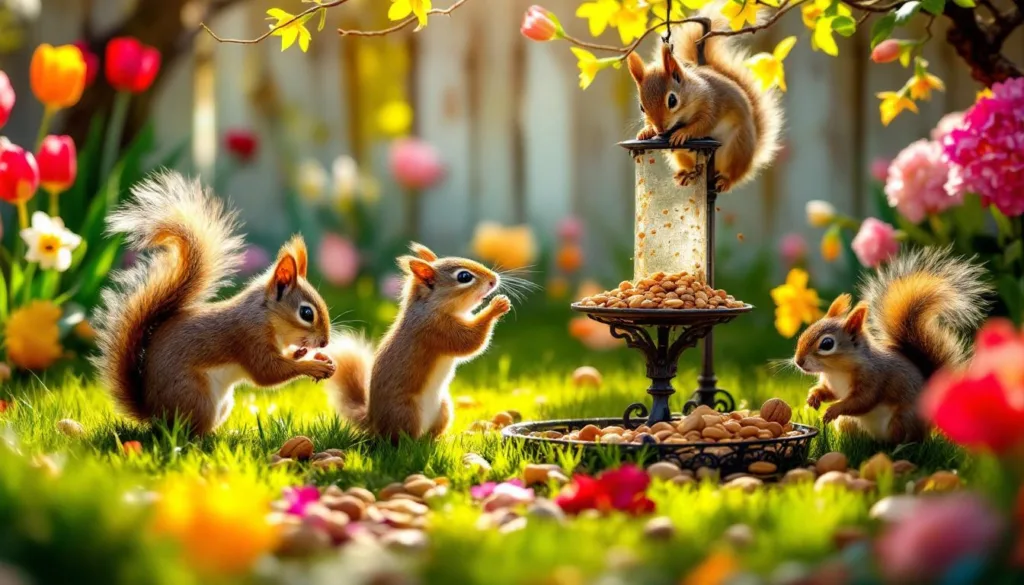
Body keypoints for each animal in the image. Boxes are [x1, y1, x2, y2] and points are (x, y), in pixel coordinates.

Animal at [93, 172, 337, 436]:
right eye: (306, 313)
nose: (325, 342)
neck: (266, 315)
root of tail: (154, 414)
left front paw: (312, 356)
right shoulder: (249, 338)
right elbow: (268, 374)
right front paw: (313, 366)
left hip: (222, 404)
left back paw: (230, 433)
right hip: (196, 397)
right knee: (191, 434)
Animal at [323, 243, 511, 442]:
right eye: (464, 277)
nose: (494, 279)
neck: (433, 307)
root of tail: (375, 423)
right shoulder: (435, 330)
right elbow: (470, 342)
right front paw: (497, 306)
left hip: (444, 408)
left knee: (432, 434)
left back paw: (442, 440)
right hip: (406, 413)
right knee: (405, 440)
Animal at [626, 5, 782, 193]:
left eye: (672, 101)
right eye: (642, 107)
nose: (661, 129)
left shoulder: (711, 102)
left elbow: (704, 124)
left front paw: (683, 133)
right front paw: (646, 131)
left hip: (738, 147)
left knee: (733, 175)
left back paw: (725, 181)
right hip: (682, 156)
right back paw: (684, 174)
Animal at [793, 247, 990, 443]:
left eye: (827, 344)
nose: (798, 361)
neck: (835, 371)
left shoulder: (874, 378)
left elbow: (862, 402)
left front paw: (833, 409)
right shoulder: (831, 383)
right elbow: (828, 392)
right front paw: (813, 396)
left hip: (902, 420)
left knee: (904, 441)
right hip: (848, 423)